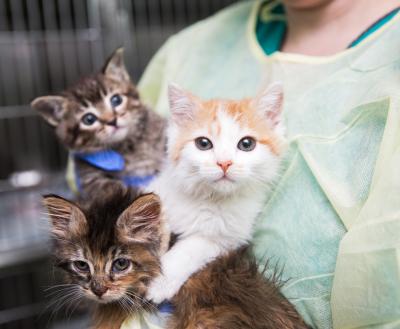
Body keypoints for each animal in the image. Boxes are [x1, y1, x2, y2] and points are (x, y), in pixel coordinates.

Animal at [30, 48, 166, 196]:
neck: (127, 147)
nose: (112, 121)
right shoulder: (89, 177)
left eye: (116, 100)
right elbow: (115, 190)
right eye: (89, 119)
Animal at [146, 82, 284, 302]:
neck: (208, 197)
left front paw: (160, 282)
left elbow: (191, 249)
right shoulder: (159, 188)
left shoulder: (229, 237)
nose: (224, 163)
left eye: (247, 144)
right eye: (203, 143)